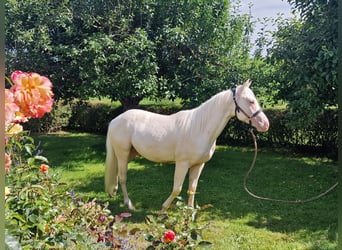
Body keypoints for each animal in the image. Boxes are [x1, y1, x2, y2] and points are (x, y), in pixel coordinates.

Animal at [104, 80, 270, 213]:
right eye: (250, 101)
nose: (265, 124)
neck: (199, 128)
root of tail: (115, 120)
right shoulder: (182, 164)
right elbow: (177, 189)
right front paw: (163, 210)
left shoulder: (198, 165)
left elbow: (192, 189)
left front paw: (189, 212)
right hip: (123, 153)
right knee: (123, 177)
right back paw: (129, 204)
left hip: (131, 153)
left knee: (117, 173)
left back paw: (114, 192)